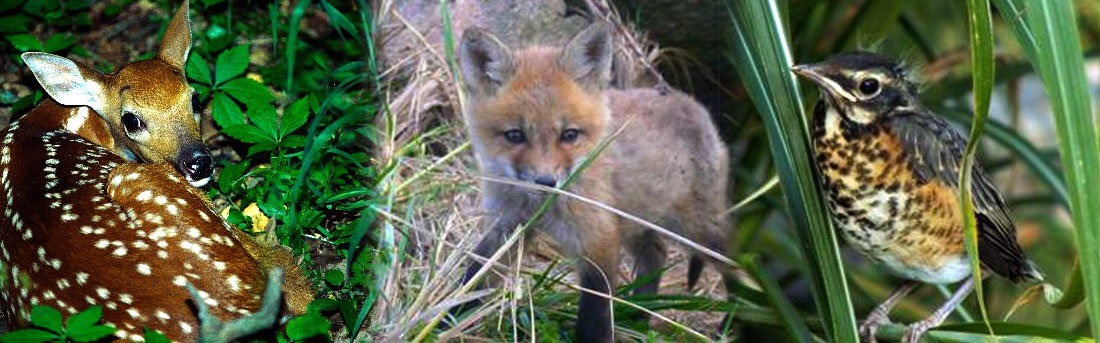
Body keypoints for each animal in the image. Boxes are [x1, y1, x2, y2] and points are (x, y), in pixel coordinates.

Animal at [455, 23, 730, 340]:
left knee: (740, 263)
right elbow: (473, 279)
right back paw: (637, 316)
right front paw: (445, 322)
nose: (545, 181)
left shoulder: (598, 238)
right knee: (656, 253)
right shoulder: (505, 227)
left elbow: (595, 313)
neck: (542, 208)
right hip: (634, 223)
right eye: (514, 135)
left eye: (569, 135)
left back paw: (733, 319)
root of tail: (692, 103)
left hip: (696, 231)